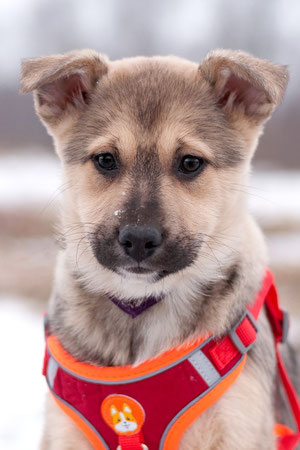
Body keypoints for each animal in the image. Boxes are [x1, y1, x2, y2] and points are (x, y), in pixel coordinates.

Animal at [20, 47, 290, 448]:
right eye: (105, 160)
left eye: (190, 163)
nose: (138, 239)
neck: (141, 306)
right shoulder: (64, 434)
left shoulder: (236, 429)